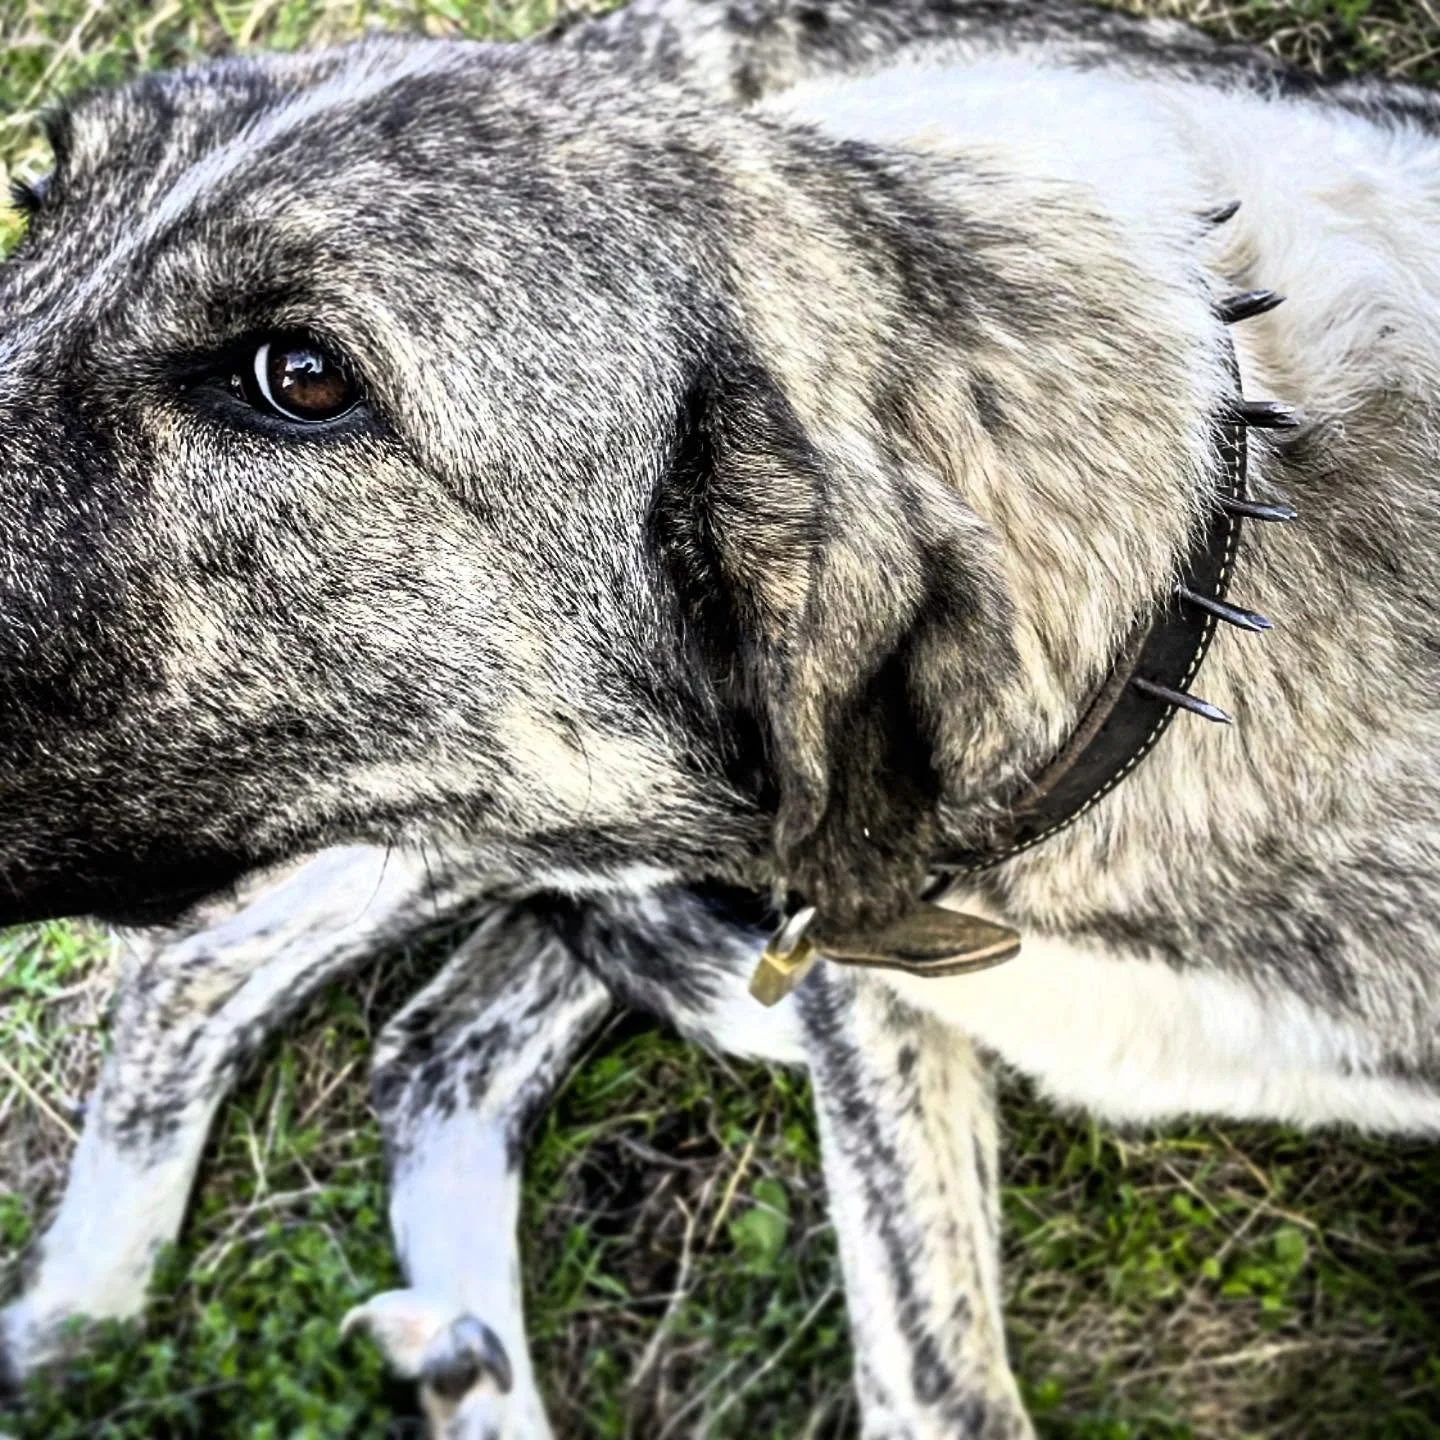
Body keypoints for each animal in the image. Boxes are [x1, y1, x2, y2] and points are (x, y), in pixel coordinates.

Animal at [4, 1, 1440, 1435]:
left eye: (300, 378)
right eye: (36, 199)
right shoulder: (857, 997)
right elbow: (935, 1376)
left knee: (433, 1052)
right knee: (216, 975)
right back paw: (84, 1312)